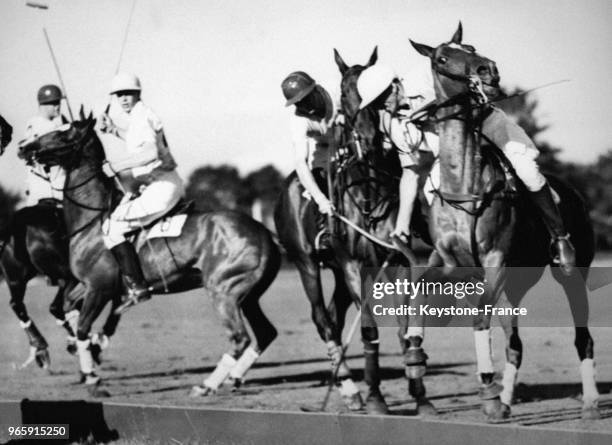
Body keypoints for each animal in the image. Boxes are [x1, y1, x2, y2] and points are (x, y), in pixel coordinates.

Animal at [16, 118, 280, 396]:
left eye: (64, 132)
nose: (24, 147)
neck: (92, 221)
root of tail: (265, 233)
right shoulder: (92, 285)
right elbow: (68, 308)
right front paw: (87, 355)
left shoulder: (100, 287)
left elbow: (83, 328)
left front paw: (93, 378)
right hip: (249, 296)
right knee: (265, 333)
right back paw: (234, 378)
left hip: (223, 291)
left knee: (240, 337)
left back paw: (206, 385)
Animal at [274, 47, 438, 412]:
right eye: (345, 92)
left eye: (377, 99)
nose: (368, 138)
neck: (367, 194)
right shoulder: (353, 265)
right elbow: (368, 329)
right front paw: (377, 398)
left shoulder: (397, 259)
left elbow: (403, 327)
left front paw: (420, 394)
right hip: (306, 262)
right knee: (322, 318)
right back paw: (350, 389)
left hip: (335, 270)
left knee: (335, 317)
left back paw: (347, 385)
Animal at [400, 23, 600, 420]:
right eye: (441, 58)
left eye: (471, 46)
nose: (487, 70)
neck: (464, 187)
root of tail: (572, 190)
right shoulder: (450, 264)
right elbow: (418, 293)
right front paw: (414, 358)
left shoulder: (496, 261)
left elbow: (479, 317)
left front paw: (488, 396)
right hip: (516, 285)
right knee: (515, 343)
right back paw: (508, 400)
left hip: (573, 275)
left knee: (582, 336)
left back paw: (588, 403)